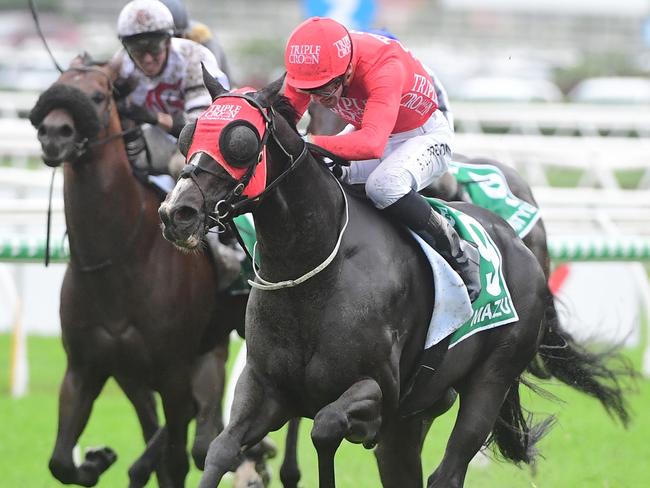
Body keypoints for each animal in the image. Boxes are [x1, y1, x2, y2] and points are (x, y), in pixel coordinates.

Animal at [27, 54, 248, 488]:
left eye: (98, 95)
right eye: (55, 87)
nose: (54, 133)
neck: (118, 260)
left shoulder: (171, 369)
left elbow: (176, 457)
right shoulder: (85, 367)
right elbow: (60, 462)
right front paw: (95, 460)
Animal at [156, 72, 628, 488]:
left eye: (239, 141)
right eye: (188, 133)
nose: (177, 213)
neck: (312, 267)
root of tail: (519, 243)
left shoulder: (380, 393)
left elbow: (325, 426)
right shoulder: (266, 387)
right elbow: (221, 449)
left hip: (490, 380)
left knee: (447, 472)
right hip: (414, 418)